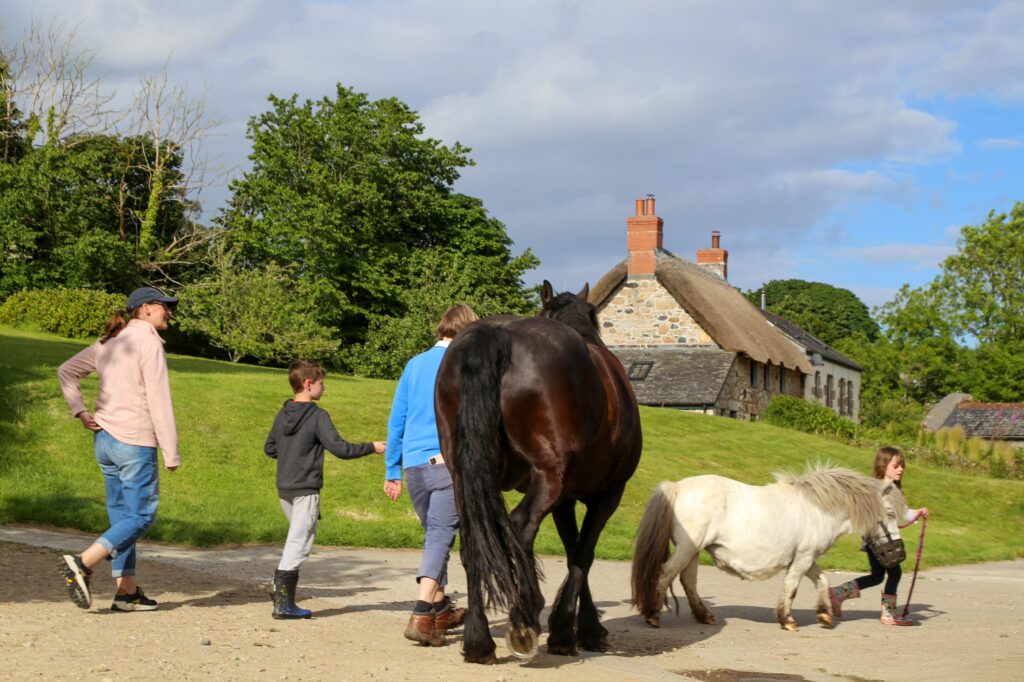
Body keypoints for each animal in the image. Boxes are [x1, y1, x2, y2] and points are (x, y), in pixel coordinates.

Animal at [436, 278, 643, 659]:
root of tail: (495, 334)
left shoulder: (565, 499)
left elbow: (573, 549)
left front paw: (577, 628)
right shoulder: (607, 494)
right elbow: (583, 554)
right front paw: (573, 629)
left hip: (465, 475)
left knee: (475, 541)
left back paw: (479, 641)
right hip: (549, 477)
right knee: (521, 526)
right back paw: (525, 616)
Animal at [626, 464, 884, 630]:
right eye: (889, 513)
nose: (892, 554)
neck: (818, 508)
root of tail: (676, 487)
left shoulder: (805, 559)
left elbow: (822, 581)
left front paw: (824, 614)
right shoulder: (803, 558)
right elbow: (792, 589)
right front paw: (787, 620)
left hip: (693, 551)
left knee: (688, 581)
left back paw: (704, 615)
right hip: (687, 549)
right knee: (666, 574)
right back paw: (653, 615)